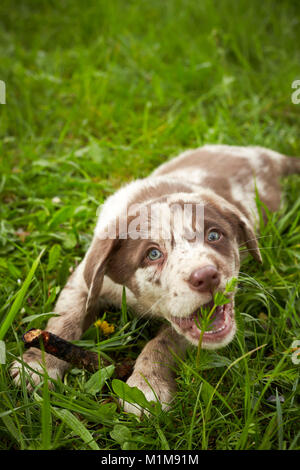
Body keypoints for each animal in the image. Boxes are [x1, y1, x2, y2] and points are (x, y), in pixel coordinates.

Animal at [10, 144, 298, 414]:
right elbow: (64, 319)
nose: (207, 276)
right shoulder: (84, 280)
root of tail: (265, 154)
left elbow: (162, 343)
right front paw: (37, 365)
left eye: (214, 235)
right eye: (153, 254)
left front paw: (146, 387)